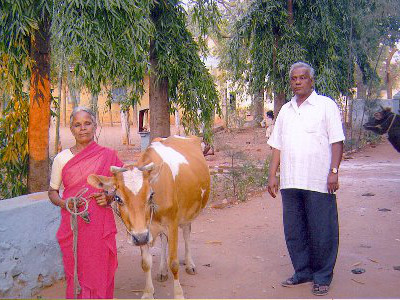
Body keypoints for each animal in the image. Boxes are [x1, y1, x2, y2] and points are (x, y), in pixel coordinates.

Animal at [86, 135, 211, 298]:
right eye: (118, 198)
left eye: (151, 195)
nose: (139, 238)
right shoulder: (143, 230)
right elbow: (146, 263)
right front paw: (148, 292)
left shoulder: (171, 224)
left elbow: (174, 262)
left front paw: (178, 294)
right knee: (164, 240)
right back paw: (162, 271)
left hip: (187, 213)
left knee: (186, 233)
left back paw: (190, 264)